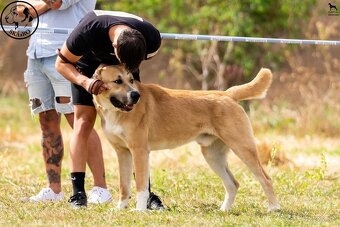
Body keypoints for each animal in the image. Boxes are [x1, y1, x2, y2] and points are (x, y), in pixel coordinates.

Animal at [92, 64, 278, 212]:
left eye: (131, 80)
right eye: (118, 81)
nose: (136, 95)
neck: (115, 112)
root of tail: (228, 94)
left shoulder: (139, 152)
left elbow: (141, 187)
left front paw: (139, 211)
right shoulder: (123, 153)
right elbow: (124, 186)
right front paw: (120, 208)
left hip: (243, 148)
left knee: (266, 179)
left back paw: (273, 208)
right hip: (213, 156)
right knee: (233, 184)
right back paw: (224, 210)